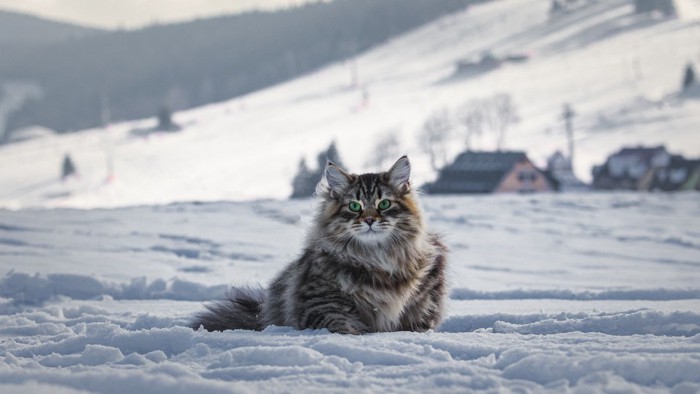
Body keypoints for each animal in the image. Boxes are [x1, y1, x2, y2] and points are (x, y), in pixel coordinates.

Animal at [189, 155, 446, 334]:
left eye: (384, 204)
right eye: (354, 206)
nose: (370, 220)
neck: (376, 256)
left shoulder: (424, 298)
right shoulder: (320, 302)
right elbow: (343, 325)